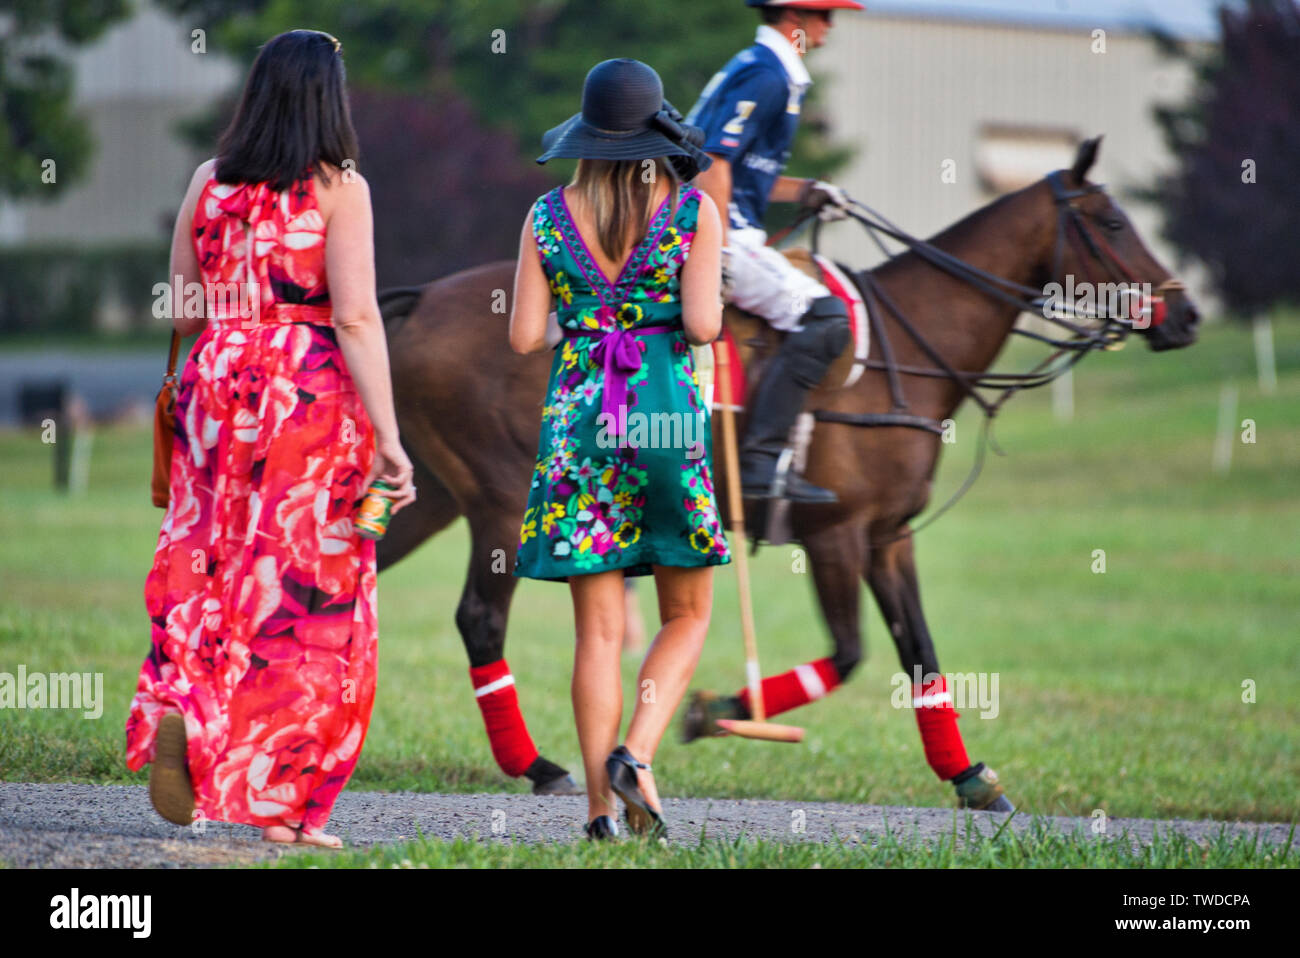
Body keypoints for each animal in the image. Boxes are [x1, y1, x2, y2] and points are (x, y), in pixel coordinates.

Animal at [374, 140, 1196, 800]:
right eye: (1113, 223)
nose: (1186, 317)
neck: (909, 348)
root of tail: (422, 299)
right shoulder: (837, 533)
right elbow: (851, 652)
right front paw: (715, 712)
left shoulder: (889, 536)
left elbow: (920, 655)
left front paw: (969, 777)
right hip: (500, 502)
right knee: (479, 619)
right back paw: (538, 765)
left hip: (430, 494)